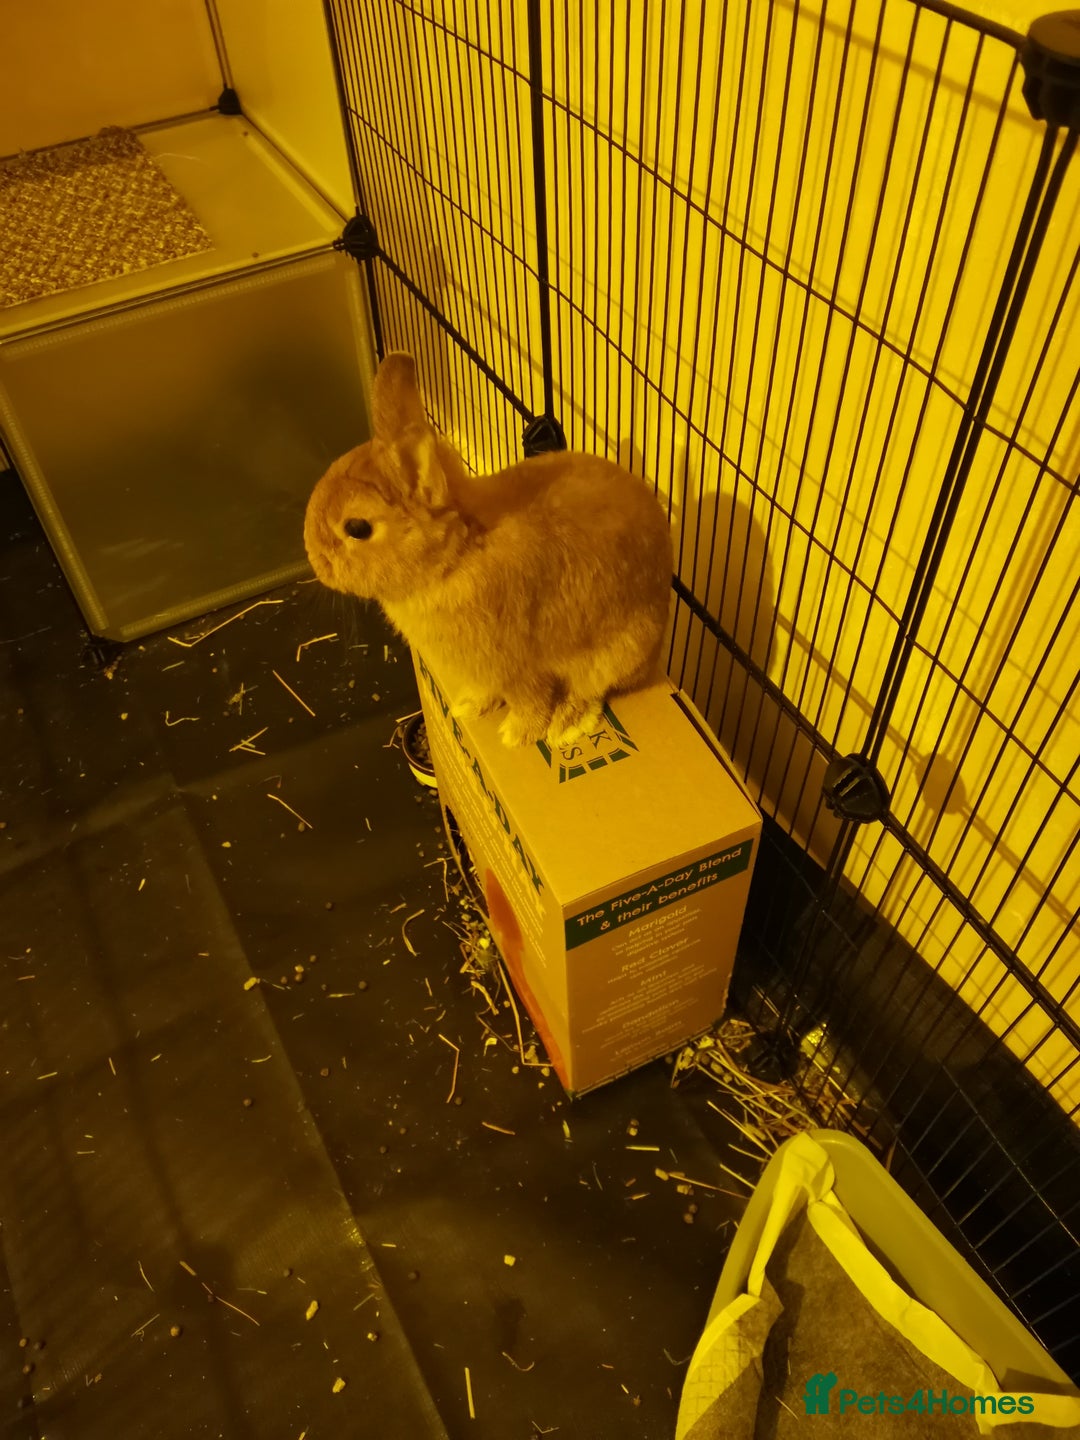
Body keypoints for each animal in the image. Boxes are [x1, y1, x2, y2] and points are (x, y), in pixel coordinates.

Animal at [303, 351, 674, 748]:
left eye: (357, 528)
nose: (317, 562)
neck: (457, 555)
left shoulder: (516, 668)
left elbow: (530, 702)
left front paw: (516, 735)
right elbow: (487, 692)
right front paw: (468, 706)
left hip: (613, 653)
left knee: (592, 689)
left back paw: (567, 725)